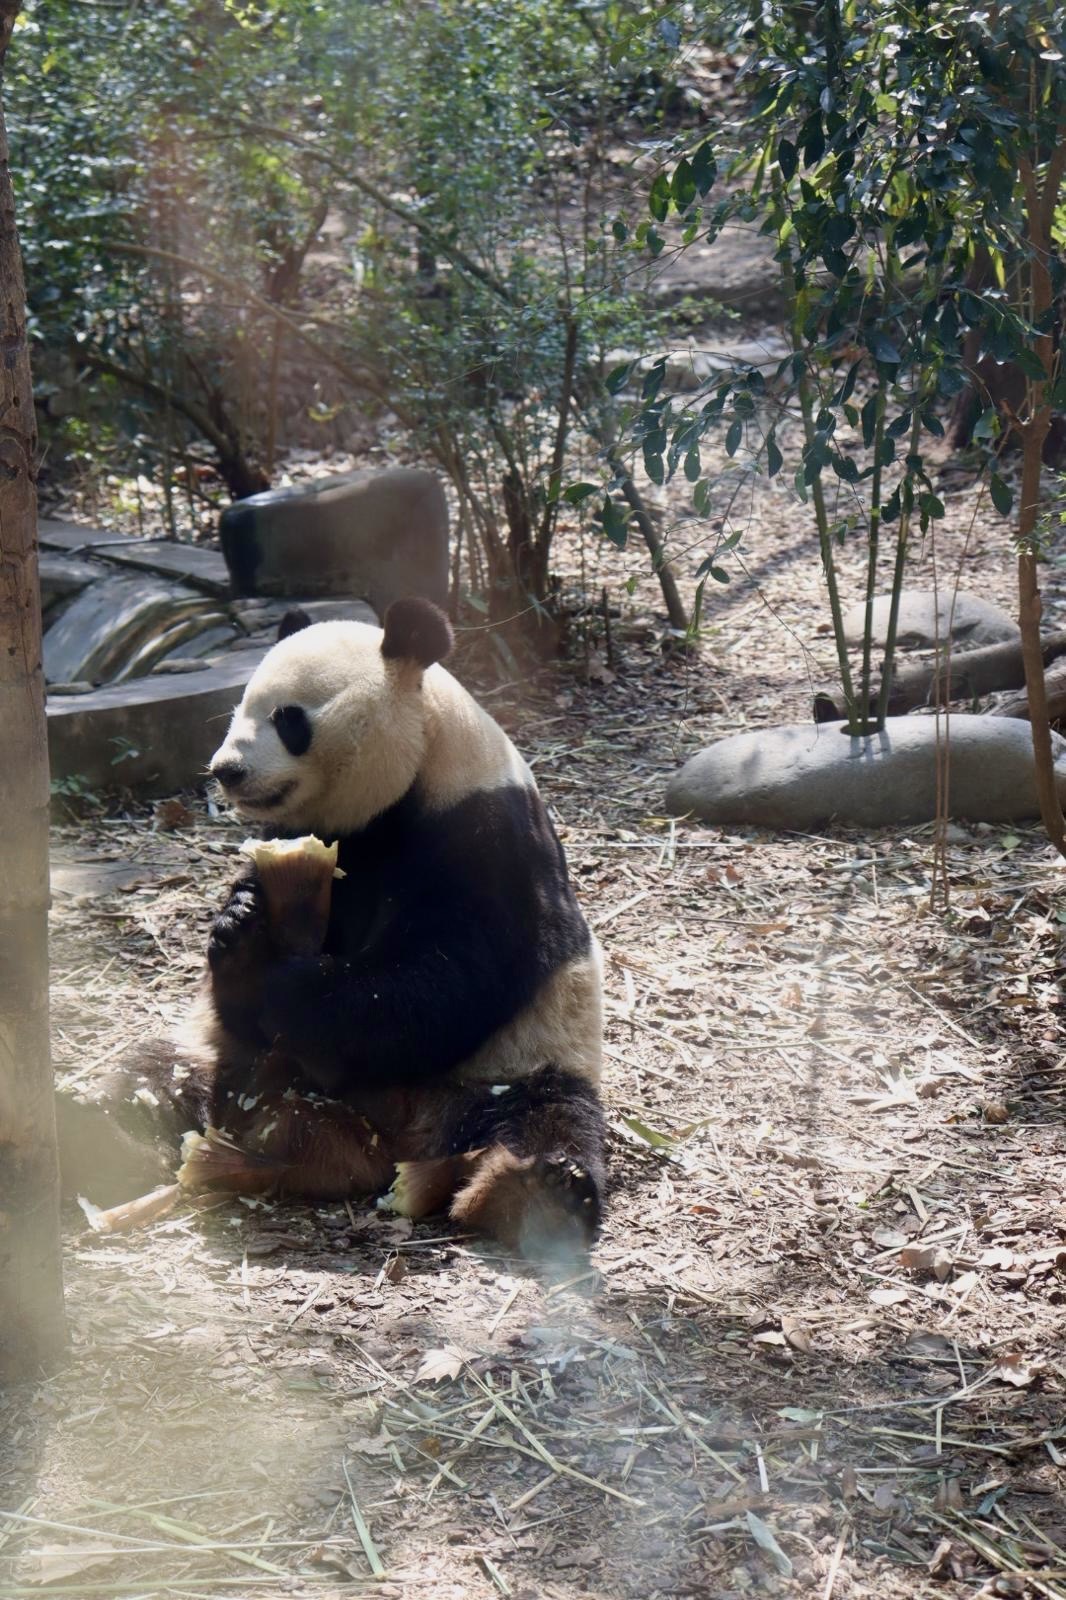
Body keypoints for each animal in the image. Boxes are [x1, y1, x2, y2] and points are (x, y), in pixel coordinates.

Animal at [67, 599, 606, 1261]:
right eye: (239, 707)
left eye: (288, 719)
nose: (226, 771)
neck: (419, 773)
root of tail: (368, 1143)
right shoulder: (309, 839)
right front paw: (242, 928)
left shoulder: (487, 838)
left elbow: (451, 977)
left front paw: (297, 988)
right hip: (224, 1061)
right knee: (149, 1078)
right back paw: (97, 1139)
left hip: (513, 1065)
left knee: (546, 1118)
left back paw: (537, 1189)